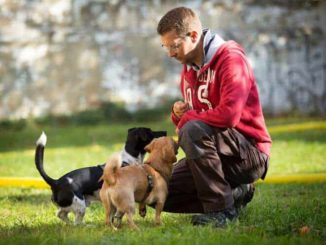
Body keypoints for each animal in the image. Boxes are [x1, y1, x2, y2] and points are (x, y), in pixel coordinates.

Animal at [34, 127, 167, 225]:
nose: (165, 132)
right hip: (80, 206)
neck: (128, 159)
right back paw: (85, 226)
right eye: (150, 132)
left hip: (71, 205)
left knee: (61, 214)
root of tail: (56, 182)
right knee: (76, 222)